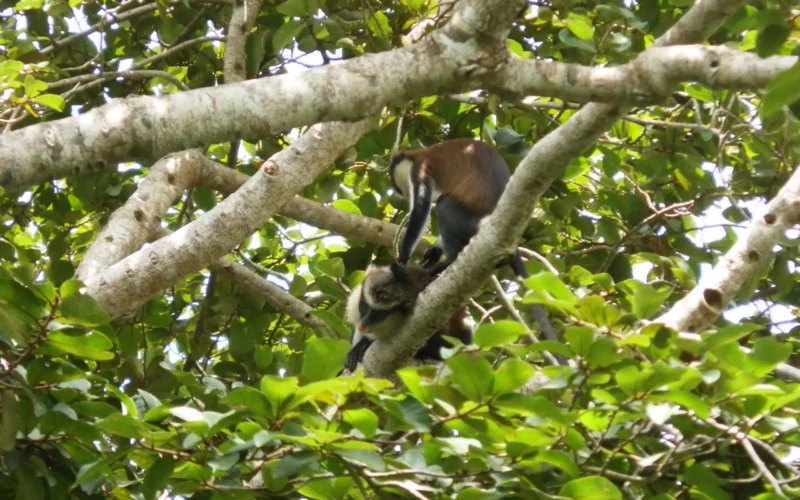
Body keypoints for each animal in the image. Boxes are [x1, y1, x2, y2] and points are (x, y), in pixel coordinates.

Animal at [388, 138, 562, 360]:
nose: (402, 194)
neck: (419, 153)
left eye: (399, 186)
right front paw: (433, 251)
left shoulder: (420, 170)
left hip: (468, 222)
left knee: (444, 203)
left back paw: (447, 263)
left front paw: (402, 261)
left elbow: (422, 207)